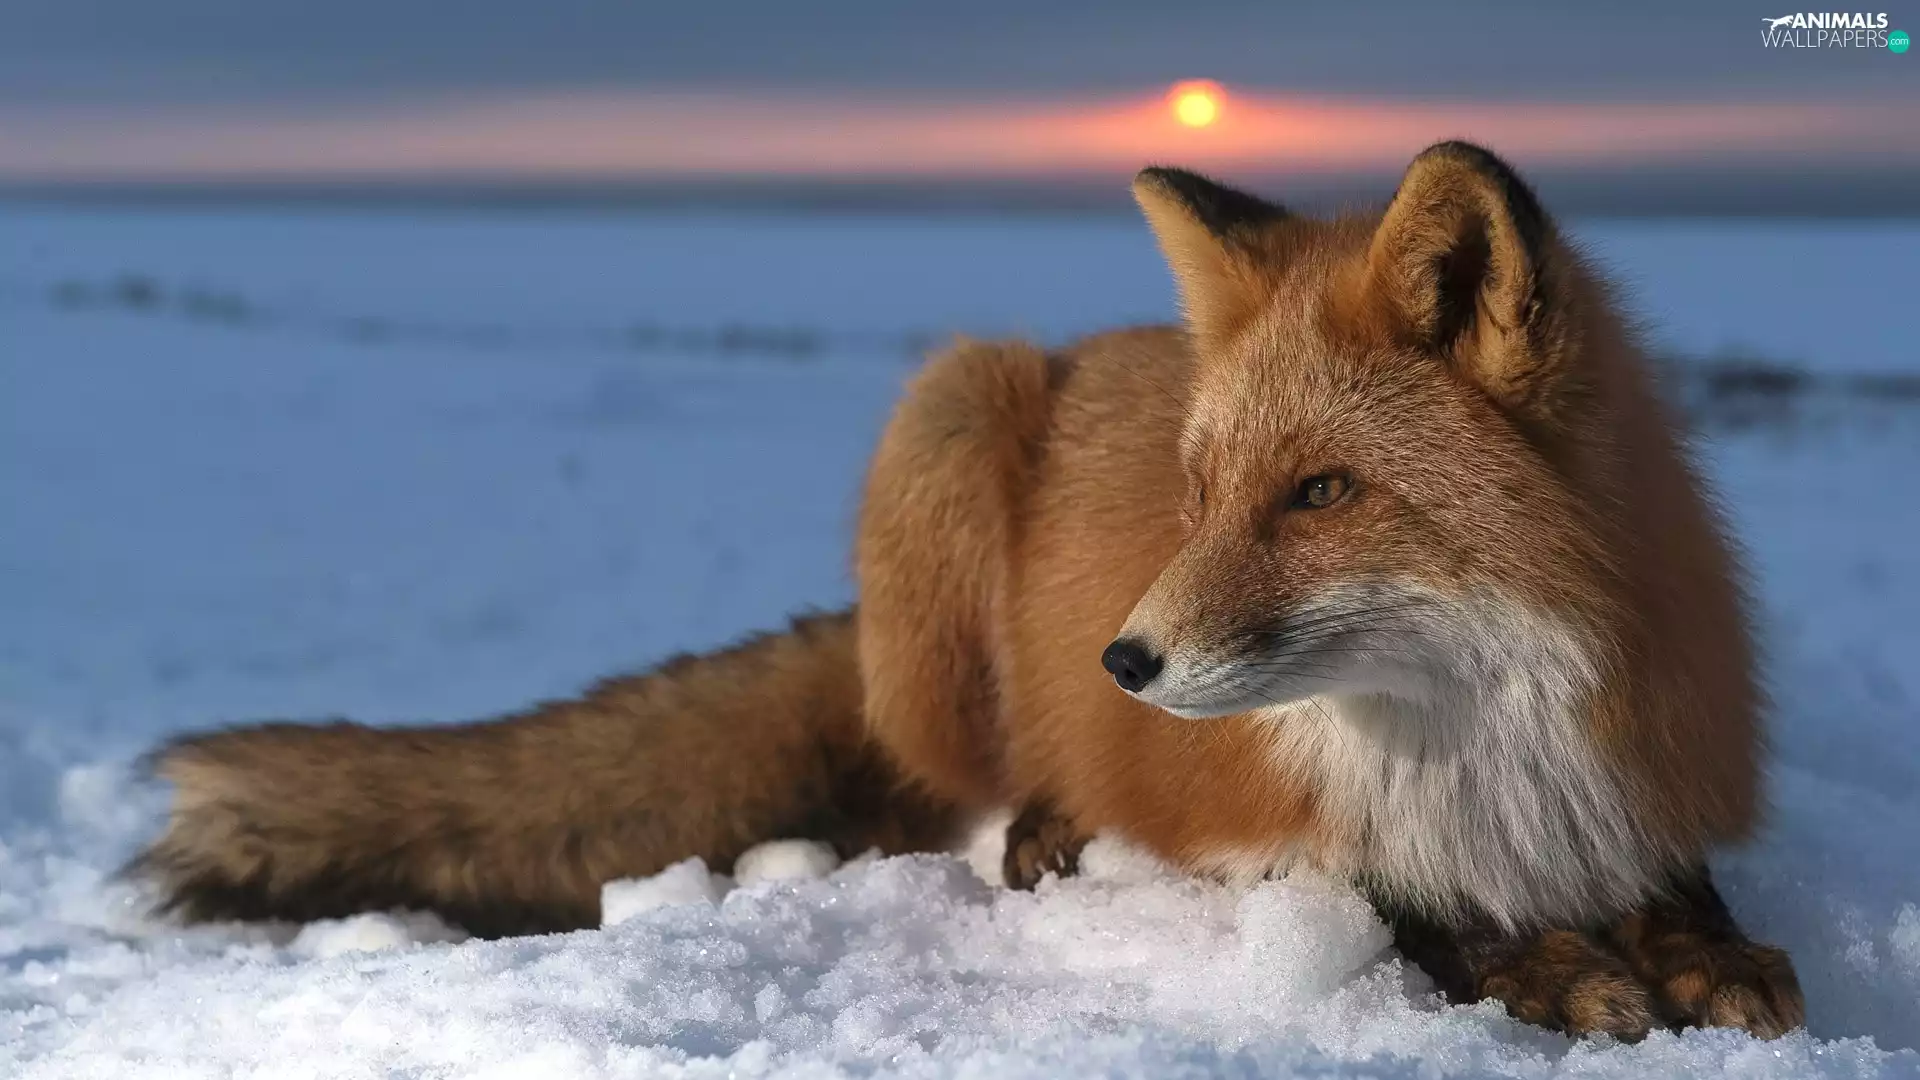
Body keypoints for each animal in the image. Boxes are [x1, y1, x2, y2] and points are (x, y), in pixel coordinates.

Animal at [130, 141, 1803, 1041]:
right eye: (1199, 495)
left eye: (1321, 493)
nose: (1124, 662)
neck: (1479, 747)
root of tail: (1088, 346)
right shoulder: (1273, 835)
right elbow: (1408, 912)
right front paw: (1556, 971)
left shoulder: (1641, 776)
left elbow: (1685, 891)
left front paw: (1705, 954)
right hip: (947, 415)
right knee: (936, 791)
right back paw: (1039, 827)